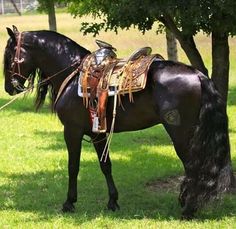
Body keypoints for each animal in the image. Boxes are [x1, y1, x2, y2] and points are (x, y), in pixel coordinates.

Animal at [2, 26, 235, 220]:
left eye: (8, 55)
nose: (9, 88)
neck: (73, 74)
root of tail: (198, 75)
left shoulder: (72, 131)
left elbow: (73, 166)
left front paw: (69, 203)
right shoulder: (97, 133)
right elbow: (106, 165)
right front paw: (112, 202)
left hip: (182, 135)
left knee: (194, 166)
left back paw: (188, 209)